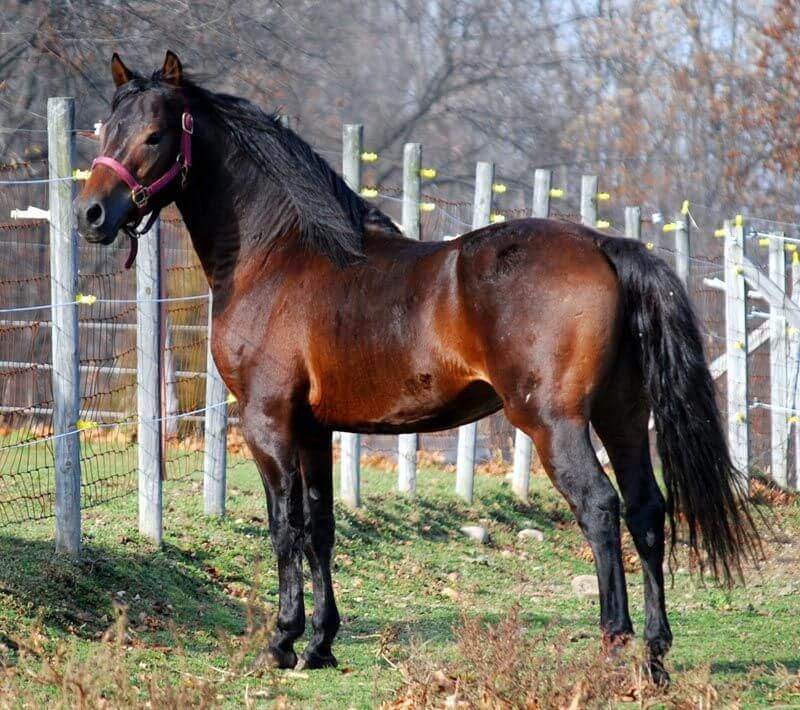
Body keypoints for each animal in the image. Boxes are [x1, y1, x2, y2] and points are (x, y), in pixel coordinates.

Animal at [73, 50, 756, 684]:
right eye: (105, 130)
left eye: (154, 135)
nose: (92, 216)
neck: (279, 256)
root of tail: (603, 246)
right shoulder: (315, 429)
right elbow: (320, 527)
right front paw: (320, 645)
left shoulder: (268, 423)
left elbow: (283, 526)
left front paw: (282, 642)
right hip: (623, 416)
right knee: (646, 510)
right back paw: (655, 655)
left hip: (552, 423)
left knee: (600, 509)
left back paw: (614, 649)